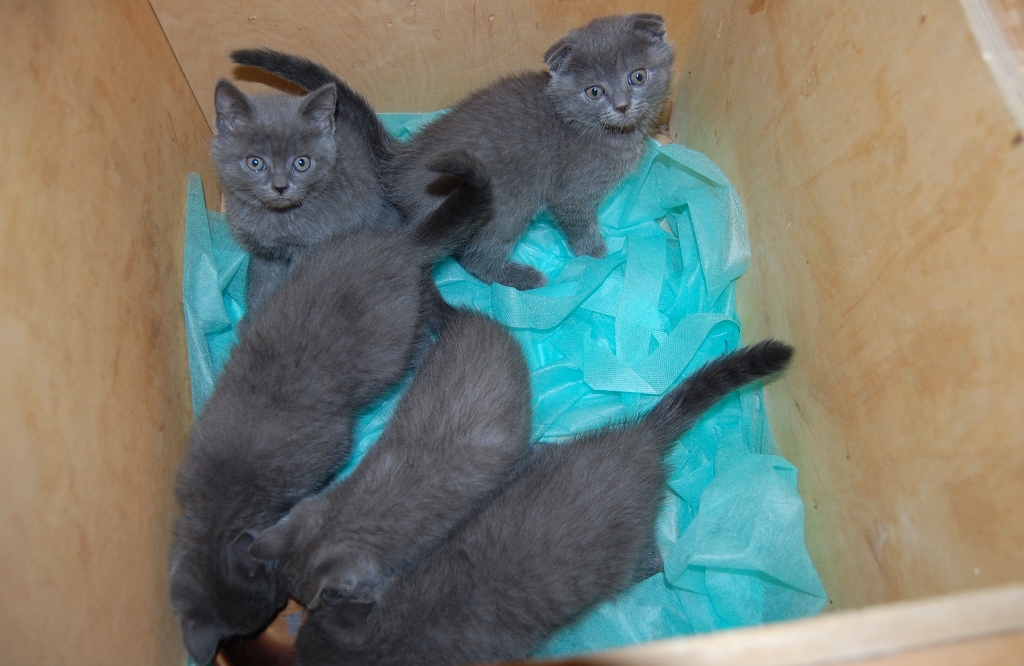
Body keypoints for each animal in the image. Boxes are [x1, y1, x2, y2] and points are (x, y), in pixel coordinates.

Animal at [169, 152, 491, 666]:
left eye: (270, 602)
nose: (282, 606)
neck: (223, 496)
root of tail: (396, 244)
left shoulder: (325, 454)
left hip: (391, 346)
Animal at [211, 77, 401, 317]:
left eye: (302, 163)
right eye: (255, 163)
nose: (280, 187)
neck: (276, 220)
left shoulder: (312, 248)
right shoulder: (264, 253)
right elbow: (260, 285)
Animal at [231, 13, 676, 291]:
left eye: (638, 76)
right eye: (594, 91)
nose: (622, 105)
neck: (591, 126)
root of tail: (399, 164)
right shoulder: (573, 192)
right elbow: (579, 223)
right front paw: (597, 255)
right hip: (506, 204)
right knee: (474, 259)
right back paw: (520, 278)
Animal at [295, 340, 794, 666]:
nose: (298, 628)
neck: (399, 627)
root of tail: (638, 443)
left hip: (624, 553)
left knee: (649, 562)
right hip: (557, 456)